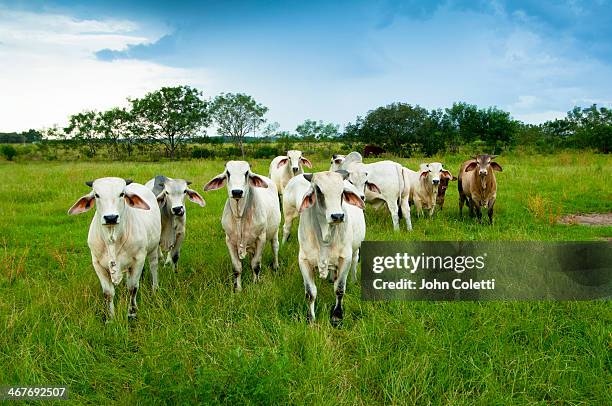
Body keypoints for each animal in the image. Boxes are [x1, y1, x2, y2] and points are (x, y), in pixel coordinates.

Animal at [67, 178, 160, 320]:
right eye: (96, 195)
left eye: (122, 194)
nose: (111, 217)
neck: (112, 239)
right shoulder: (97, 264)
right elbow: (108, 293)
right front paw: (110, 318)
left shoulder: (138, 260)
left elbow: (133, 288)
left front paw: (132, 313)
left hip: (153, 248)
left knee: (153, 266)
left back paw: (155, 288)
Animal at [206, 160, 282, 290]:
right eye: (228, 173)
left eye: (246, 173)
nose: (237, 192)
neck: (239, 215)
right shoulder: (229, 241)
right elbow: (237, 267)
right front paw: (238, 289)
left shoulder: (261, 238)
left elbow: (256, 265)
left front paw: (255, 284)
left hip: (274, 231)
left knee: (275, 247)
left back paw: (276, 266)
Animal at [298, 170, 366, 326]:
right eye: (318, 189)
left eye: (342, 191)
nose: (337, 216)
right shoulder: (303, 260)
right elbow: (310, 293)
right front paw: (310, 319)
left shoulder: (345, 258)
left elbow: (339, 289)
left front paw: (337, 316)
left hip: (355, 251)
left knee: (354, 263)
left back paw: (353, 280)